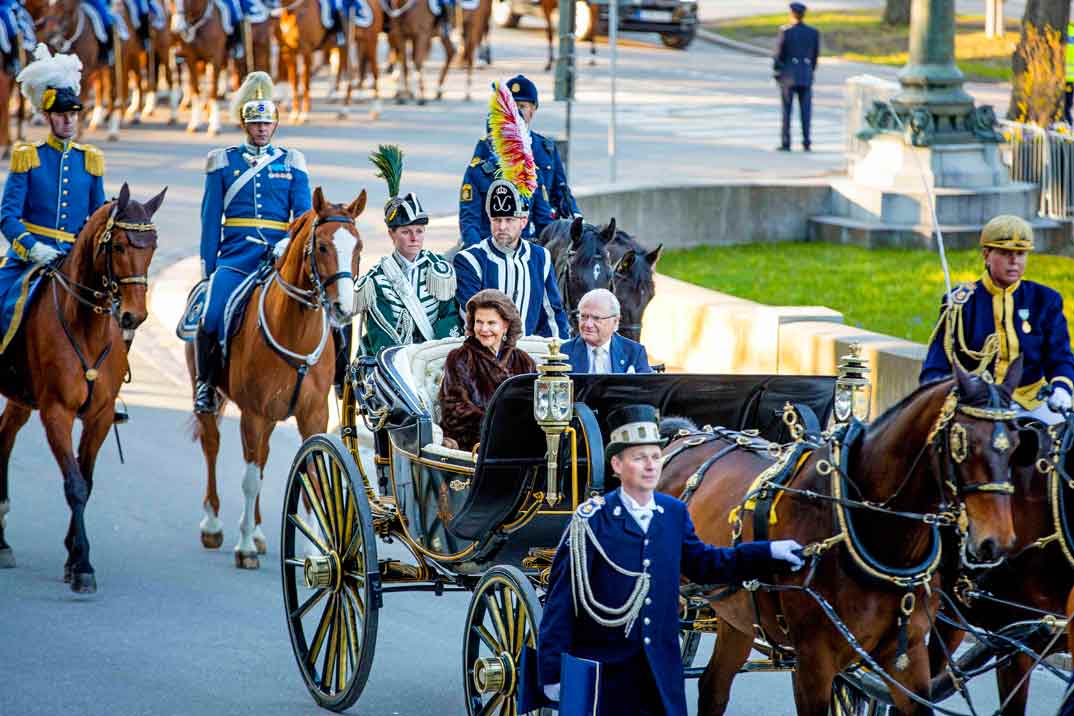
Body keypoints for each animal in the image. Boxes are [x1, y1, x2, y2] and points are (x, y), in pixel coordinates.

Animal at [0, 184, 165, 592]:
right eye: (118, 245)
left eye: (153, 246)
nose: (134, 316)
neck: (86, 325)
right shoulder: (57, 412)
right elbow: (73, 483)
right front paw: (83, 563)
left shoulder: (100, 416)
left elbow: (85, 482)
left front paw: (73, 557)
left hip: (21, 400)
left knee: (4, 438)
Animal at [184, 186, 365, 571]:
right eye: (322, 246)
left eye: (358, 246)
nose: (343, 309)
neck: (295, 330)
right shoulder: (253, 414)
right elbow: (250, 480)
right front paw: (244, 548)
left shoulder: (313, 416)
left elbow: (314, 478)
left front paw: (315, 550)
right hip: (210, 395)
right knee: (213, 446)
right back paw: (215, 525)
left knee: (263, 458)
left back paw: (257, 532)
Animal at [661, 364, 1022, 716]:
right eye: (962, 443)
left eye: (1017, 444)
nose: (996, 542)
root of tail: (677, 438)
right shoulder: (813, 662)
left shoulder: (907, 658)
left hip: (737, 616)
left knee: (713, 688)